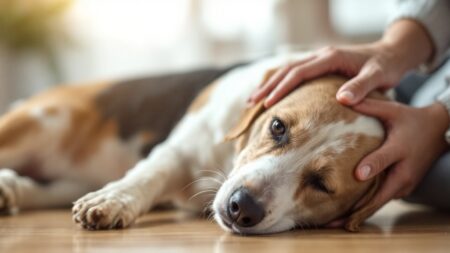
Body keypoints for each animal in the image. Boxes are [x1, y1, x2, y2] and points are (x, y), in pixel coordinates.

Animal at [0, 54, 386, 234]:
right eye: (277, 127)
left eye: (322, 184)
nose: (241, 208)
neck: (224, 160)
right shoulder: (176, 151)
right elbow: (147, 176)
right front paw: (112, 201)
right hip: (39, 124)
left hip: (62, 181)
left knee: (29, 185)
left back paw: (9, 189)